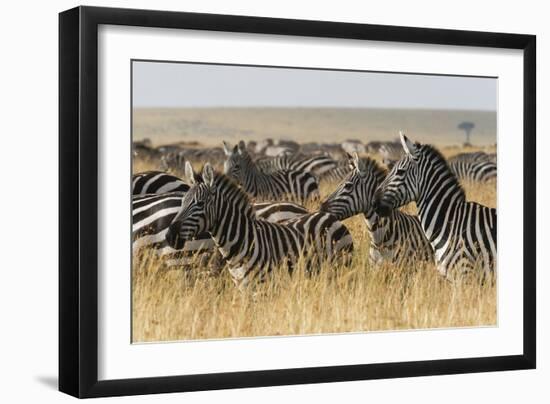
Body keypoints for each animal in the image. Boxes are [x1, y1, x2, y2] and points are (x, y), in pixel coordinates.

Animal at [166, 162, 354, 288]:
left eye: (200, 204)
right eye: (182, 202)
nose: (170, 236)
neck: (242, 239)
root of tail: (330, 217)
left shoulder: (261, 287)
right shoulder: (242, 287)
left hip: (339, 269)